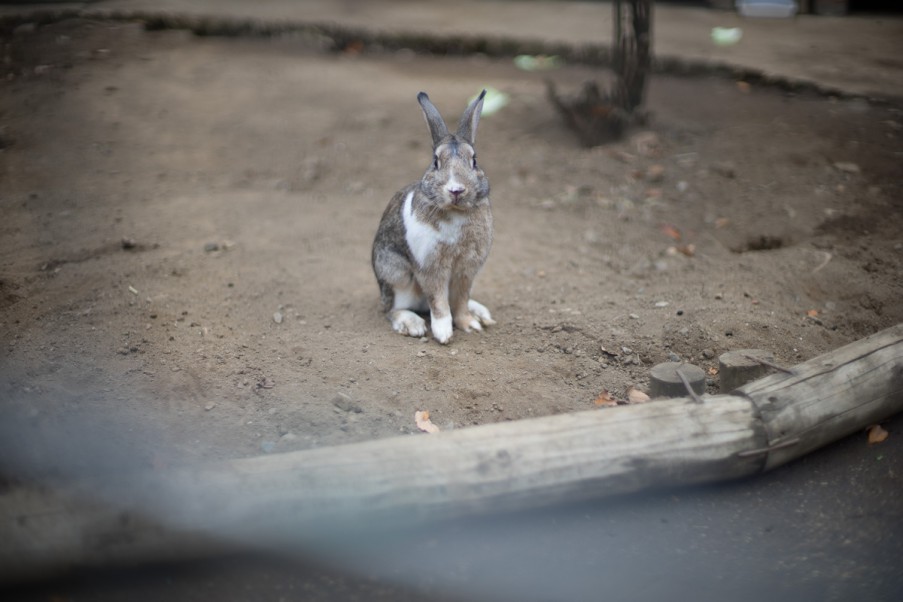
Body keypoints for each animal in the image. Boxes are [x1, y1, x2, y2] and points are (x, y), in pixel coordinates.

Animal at [372, 89, 494, 342]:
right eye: (436, 162)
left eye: (474, 160)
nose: (456, 190)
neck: (456, 212)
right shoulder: (430, 267)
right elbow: (438, 302)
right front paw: (444, 334)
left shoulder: (466, 270)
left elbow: (460, 301)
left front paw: (469, 324)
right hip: (397, 276)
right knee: (392, 310)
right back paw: (413, 324)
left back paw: (481, 313)